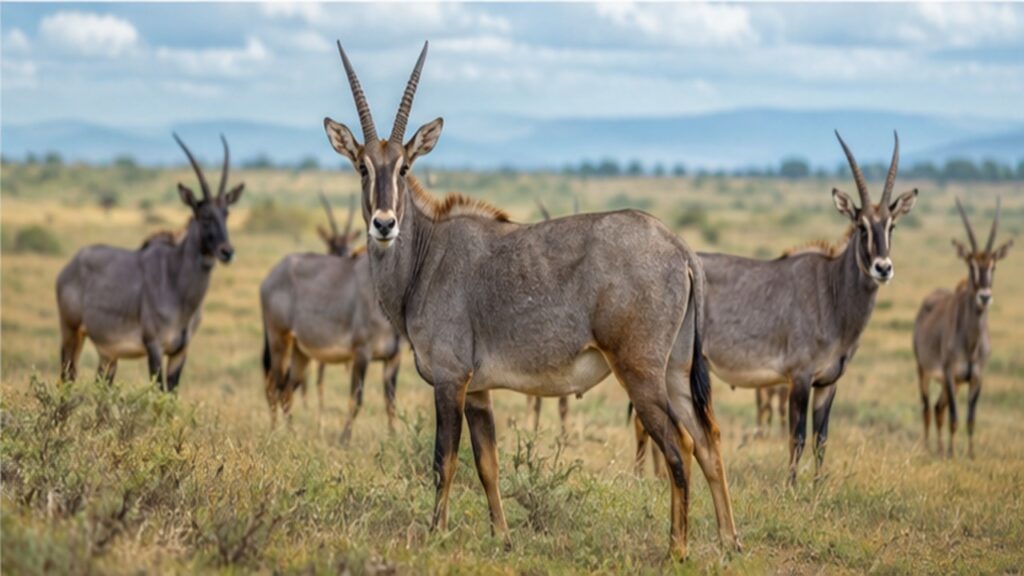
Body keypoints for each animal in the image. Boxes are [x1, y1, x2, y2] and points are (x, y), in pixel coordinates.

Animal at [56, 134, 243, 389]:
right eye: (204, 216)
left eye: (226, 214)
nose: (227, 251)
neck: (177, 283)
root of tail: (71, 265)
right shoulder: (154, 346)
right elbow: (158, 390)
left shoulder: (180, 352)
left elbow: (171, 392)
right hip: (71, 331)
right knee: (67, 376)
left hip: (108, 353)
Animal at [260, 193, 402, 438]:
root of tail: (271, 276)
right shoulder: (361, 354)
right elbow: (356, 399)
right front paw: (344, 439)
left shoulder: (393, 359)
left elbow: (390, 402)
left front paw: (394, 439)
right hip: (279, 341)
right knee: (275, 387)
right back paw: (278, 433)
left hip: (300, 352)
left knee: (287, 389)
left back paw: (291, 434)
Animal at [322, 40, 740, 559]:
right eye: (362, 166)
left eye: (404, 166)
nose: (383, 224)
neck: (426, 256)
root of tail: (679, 247)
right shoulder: (477, 390)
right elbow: (487, 463)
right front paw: (502, 536)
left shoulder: (450, 380)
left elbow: (444, 459)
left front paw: (436, 533)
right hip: (676, 372)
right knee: (708, 440)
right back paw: (729, 541)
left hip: (640, 371)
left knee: (679, 446)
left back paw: (676, 550)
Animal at [632, 131, 919, 485]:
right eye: (861, 226)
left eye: (892, 226)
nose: (883, 267)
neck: (833, 291)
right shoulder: (799, 378)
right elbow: (797, 436)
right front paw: (791, 486)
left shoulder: (828, 384)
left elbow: (821, 439)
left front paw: (817, 486)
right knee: (642, 422)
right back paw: (643, 478)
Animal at [913, 198, 1011, 458]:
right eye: (971, 265)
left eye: (994, 266)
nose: (984, 296)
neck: (971, 341)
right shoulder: (949, 373)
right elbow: (955, 418)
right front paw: (951, 454)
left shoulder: (976, 377)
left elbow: (970, 419)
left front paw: (970, 454)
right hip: (924, 372)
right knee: (927, 408)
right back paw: (928, 448)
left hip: (954, 384)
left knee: (938, 407)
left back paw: (938, 448)